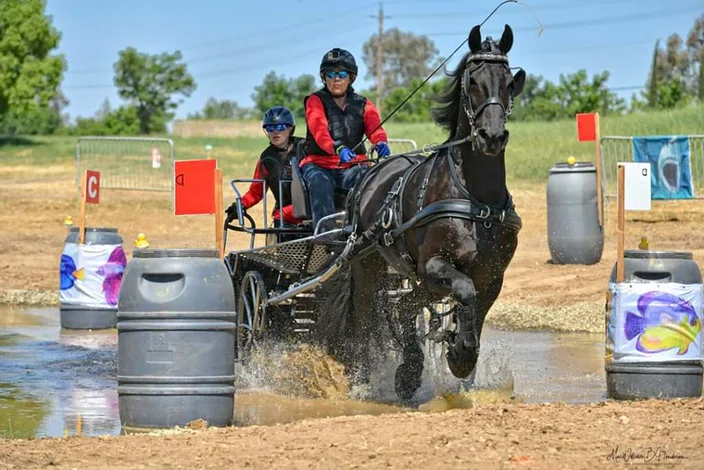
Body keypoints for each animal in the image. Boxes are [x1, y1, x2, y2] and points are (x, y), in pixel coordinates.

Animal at [316, 23, 524, 398]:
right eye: (472, 80)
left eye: (508, 80)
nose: (491, 136)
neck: (476, 201)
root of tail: (371, 173)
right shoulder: (434, 265)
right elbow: (463, 291)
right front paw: (458, 351)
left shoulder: (491, 276)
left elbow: (474, 307)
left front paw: (460, 354)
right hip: (368, 266)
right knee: (367, 316)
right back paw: (369, 373)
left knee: (403, 305)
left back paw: (409, 370)